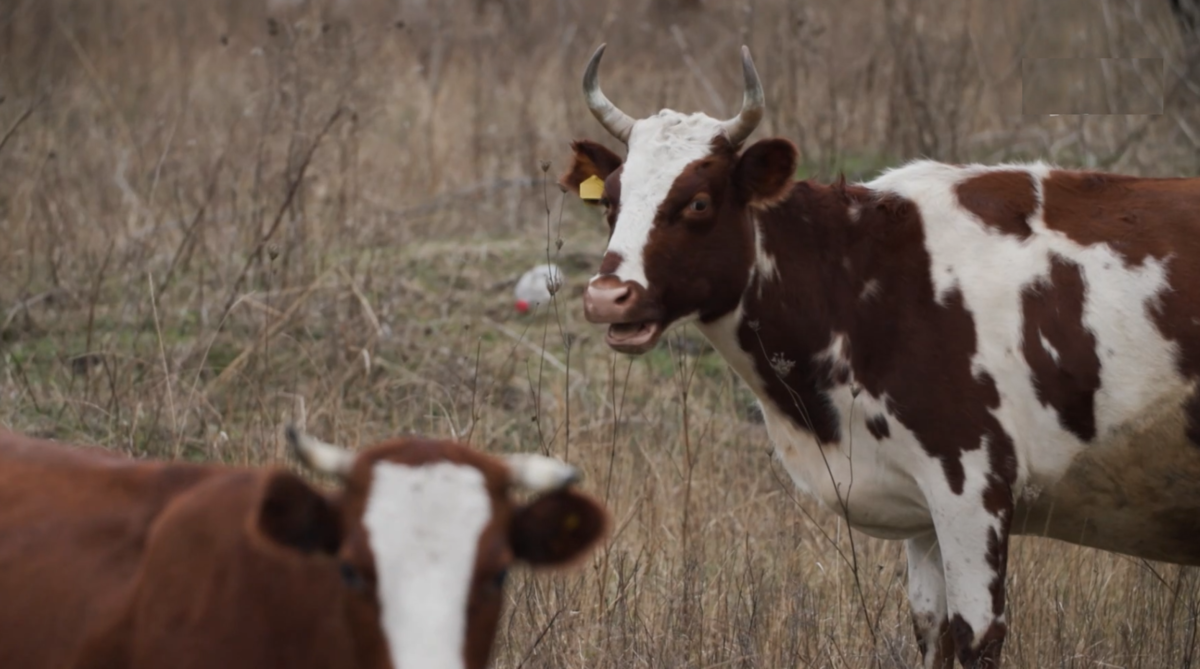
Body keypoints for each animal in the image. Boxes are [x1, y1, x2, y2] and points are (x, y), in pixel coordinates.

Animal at [566, 41, 1200, 669]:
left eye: (698, 203)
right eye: (611, 202)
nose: (606, 295)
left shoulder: (973, 485)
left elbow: (977, 637)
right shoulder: (923, 509)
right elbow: (932, 632)